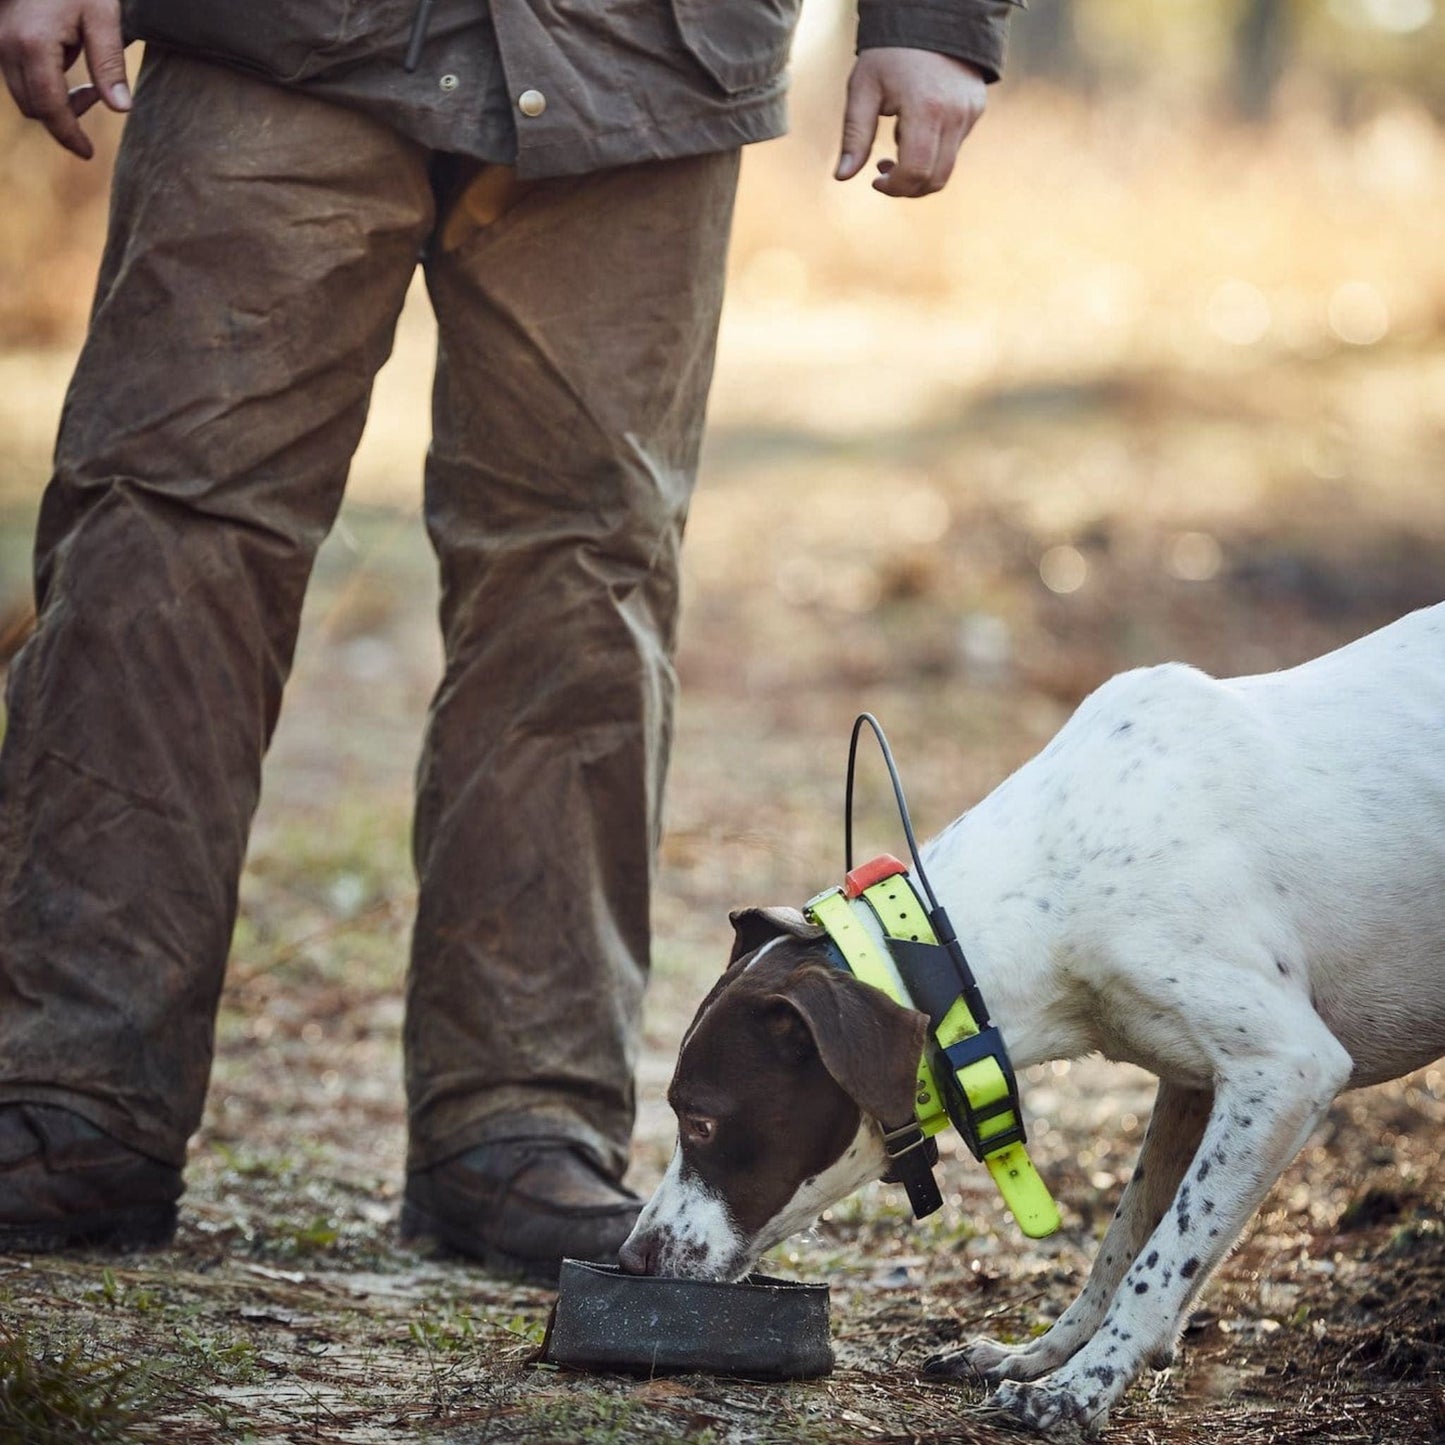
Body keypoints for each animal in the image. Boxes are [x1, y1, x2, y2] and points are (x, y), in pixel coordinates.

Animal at [624, 601, 1445, 1433]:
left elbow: (1157, 1263)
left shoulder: (1285, 1071)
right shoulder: (1191, 1088)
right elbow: (1124, 1243)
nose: (632, 1257)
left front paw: (1080, 1389)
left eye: (699, 1120)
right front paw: (1042, 1355)